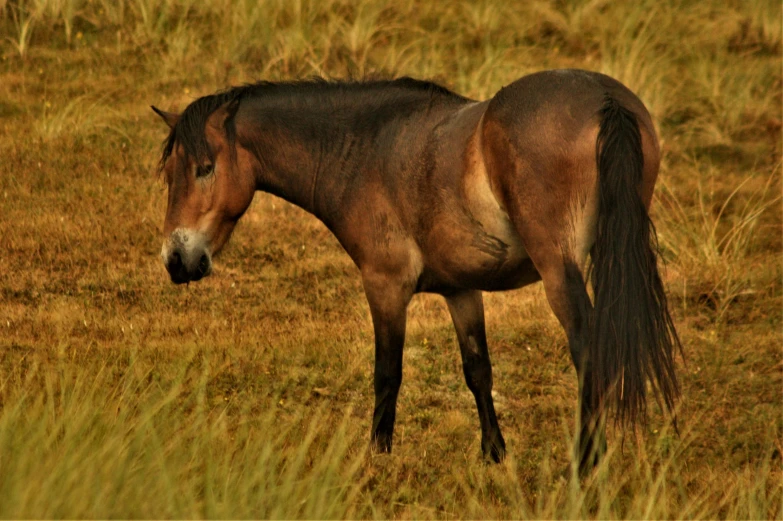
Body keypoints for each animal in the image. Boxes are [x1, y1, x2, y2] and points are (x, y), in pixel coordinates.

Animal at [153, 70, 680, 476]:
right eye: (171, 174)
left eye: (205, 168)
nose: (177, 259)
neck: (367, 151)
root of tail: (606, 100)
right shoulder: (461, 291)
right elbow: (478, 370)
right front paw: (494, 454)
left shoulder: (385, 286)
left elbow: (387, 372)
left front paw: (377, 457)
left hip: (560, 272)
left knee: (589, 348)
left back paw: (587, 462)